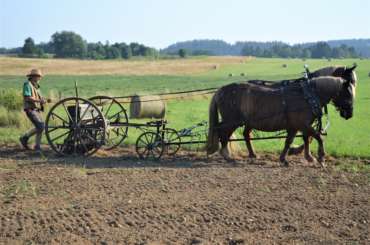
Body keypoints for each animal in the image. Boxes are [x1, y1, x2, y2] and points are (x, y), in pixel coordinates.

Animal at [207, 74, 356, 167]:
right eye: (348, 93)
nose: (349, 114)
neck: (308, 95)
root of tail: (220, 90)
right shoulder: (302, 124)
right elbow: (319, 137)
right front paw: (321, 158)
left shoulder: (297, 126)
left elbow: (293, 141)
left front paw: (290, 158)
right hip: (232, 120)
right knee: (222, 133)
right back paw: (226, 155)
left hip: (243, 121)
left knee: (243, 134)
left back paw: (252, 154)